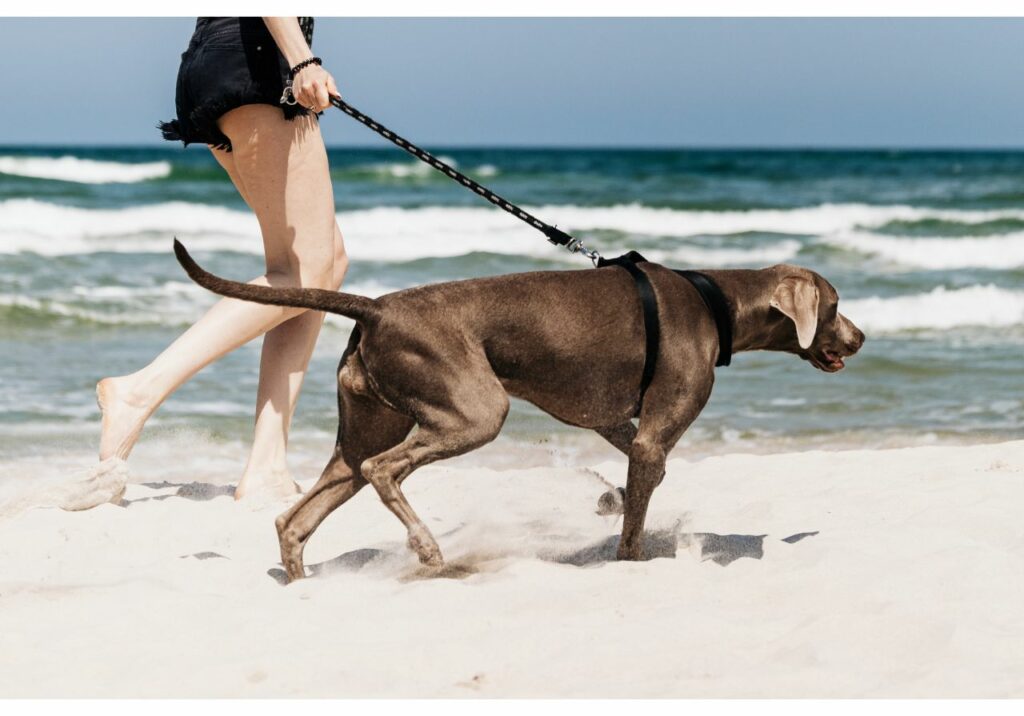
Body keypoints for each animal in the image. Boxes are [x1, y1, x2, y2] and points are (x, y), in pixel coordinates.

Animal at [174, 240, 864, 581]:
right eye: (834, 306)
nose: (859, 339)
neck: (715, 299)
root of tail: (374, 308)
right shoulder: (649, 431)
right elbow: (638, 514)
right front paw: (631, 558)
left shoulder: (607, 417)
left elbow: (637, 470)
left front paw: (610, 497)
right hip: (475, 411)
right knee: (384, 469)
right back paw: (428, 550)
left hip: (365, 424)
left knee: (300, 512)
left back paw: (302, 580)